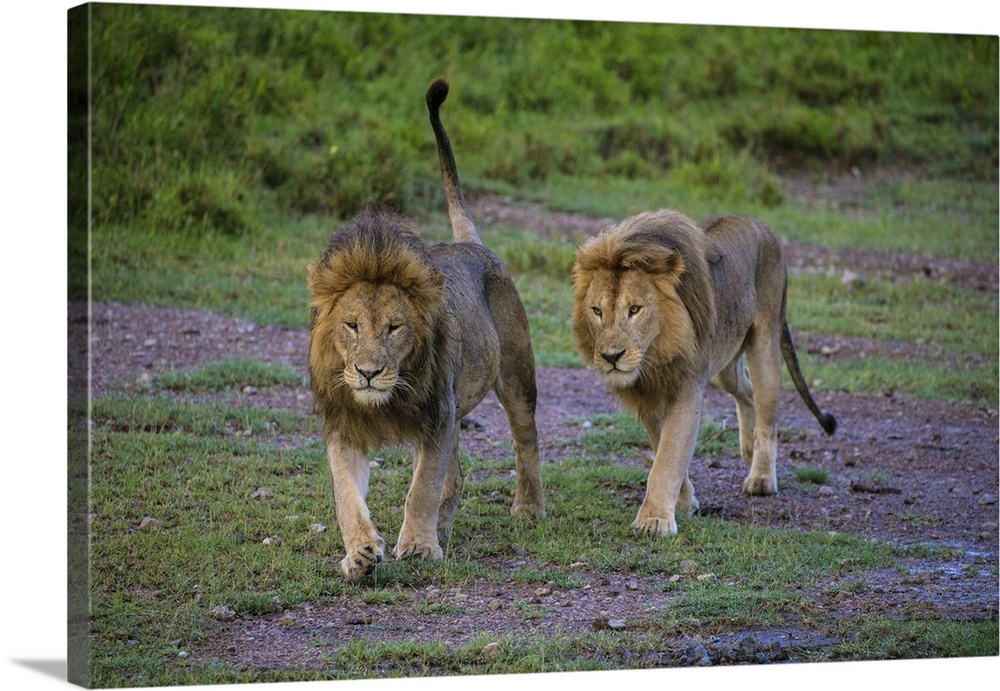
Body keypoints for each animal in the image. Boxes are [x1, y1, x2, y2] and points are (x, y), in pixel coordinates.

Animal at [308, 78, 548, 580]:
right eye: (351, 325)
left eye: (395, 327)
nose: (368, 373)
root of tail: (471, 244)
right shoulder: (345, 425)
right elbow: (346, 496)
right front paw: (360, 553)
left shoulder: (436, 415)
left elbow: (421, 487)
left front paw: (417, 546)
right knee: (455, 477)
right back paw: (445, 529)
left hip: (516, 378)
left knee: (526, 440)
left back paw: (528, 509)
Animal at [572, 209, 836, 536]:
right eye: (597, 311)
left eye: (635, 309)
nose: (611, 357)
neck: (654, 356)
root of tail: (756, 221)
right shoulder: (650, 396)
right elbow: (662, 448)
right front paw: (683, 502)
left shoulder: (687, 388)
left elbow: (669, 455)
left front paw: (654, 520)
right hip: (726, 362)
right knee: (745, 389)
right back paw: (749, 448)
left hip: (765, 341)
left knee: (767, 412)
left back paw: (761, 477)